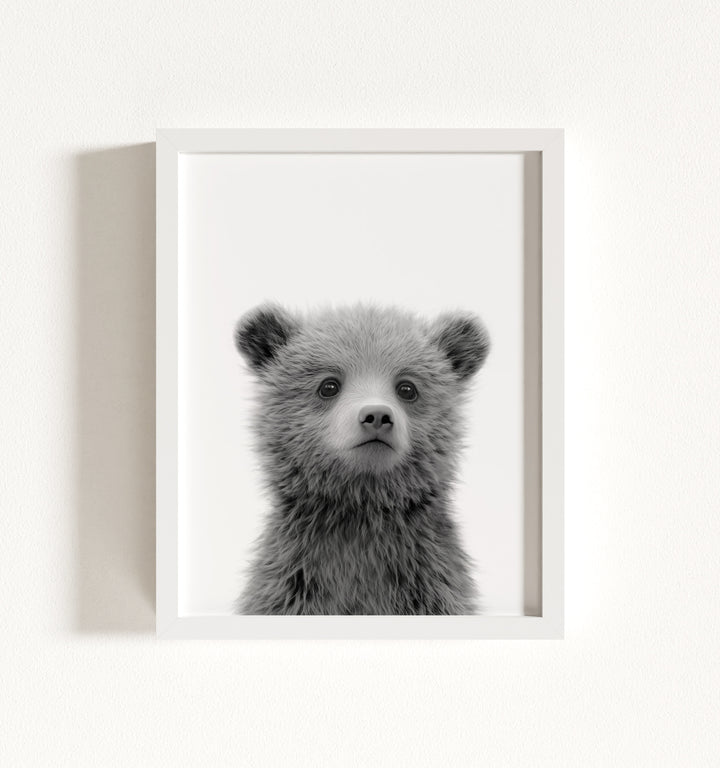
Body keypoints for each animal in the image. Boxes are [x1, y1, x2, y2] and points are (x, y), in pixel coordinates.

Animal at [233, 303, 490, 615]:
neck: (360, 509)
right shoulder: (293, 584)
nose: (377, 415)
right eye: (329, 385)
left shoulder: (429, 584)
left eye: (407, 388)